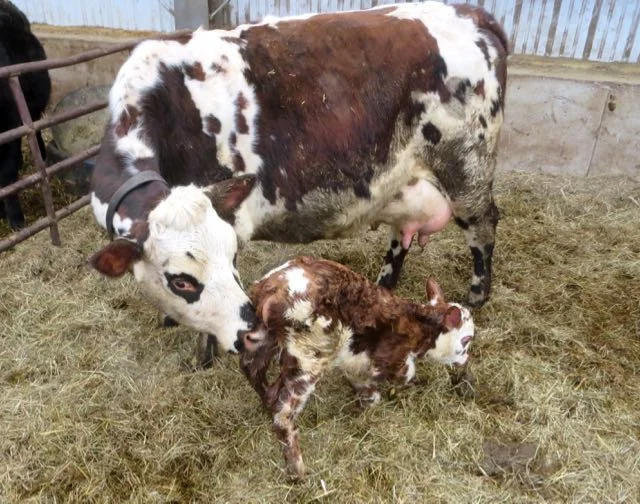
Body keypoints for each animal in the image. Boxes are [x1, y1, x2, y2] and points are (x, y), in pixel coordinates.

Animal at [88, 2, 508, 359]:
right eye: (181, 281)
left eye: (232, 254)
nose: (248, 332)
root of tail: (471, 12)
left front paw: (203, 355)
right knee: (400, 236)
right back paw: (384, 286)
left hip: (467, 169)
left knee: (484, 225)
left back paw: (476, 295)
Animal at [238, 255, 475, 478]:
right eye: (466, 340)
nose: (466, 360)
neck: (417, 324)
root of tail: (270, 289)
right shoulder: (388, 358)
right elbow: (402, 375)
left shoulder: (356, 361)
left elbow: (368, 391)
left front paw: (361, 407)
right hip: (311, 357)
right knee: (283, 414)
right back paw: (297, 471)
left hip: (266, 340)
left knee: (252, 369)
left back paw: (267, 401)